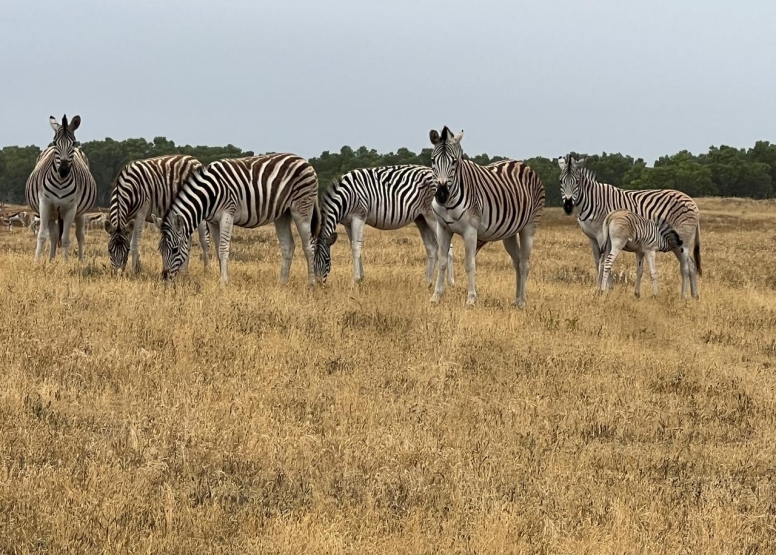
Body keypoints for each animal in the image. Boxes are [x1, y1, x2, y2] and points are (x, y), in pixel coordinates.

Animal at [25, 114, 97, 262]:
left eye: (73, 143)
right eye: (54, 142)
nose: (63, 170)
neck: (60, 182)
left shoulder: (70, 209)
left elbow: (65, 238)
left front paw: (66, 263)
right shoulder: (45, 204)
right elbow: (42, 235)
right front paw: (37, 262)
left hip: (80, 213)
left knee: (79, 235)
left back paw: (80, 261)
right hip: (53, 212)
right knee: (53, 235)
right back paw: (50, 260)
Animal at [159, 153, 320, 286]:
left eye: (174, 250)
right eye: (160, 250)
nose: (164, 278)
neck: (209, 195)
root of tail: (305, 161)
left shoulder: (227, 214)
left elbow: (223, 249)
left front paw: (223, 282)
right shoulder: (212, 221)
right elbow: (218, 250)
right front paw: (223, 277)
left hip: (302, 208)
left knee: (309, 246)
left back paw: (311, 284)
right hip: (283, 214)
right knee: (288, 246)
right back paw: (281, 283)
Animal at [312, 164, 454, 286]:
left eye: (327, 261)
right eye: (312, 262)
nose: (318, 285)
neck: (345, 198)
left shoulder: (359, 217)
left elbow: (356, 247)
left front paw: (355, 280)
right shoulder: (347, 223)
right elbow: (353, 246)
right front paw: (361, 278)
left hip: (433, 218)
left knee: (448, 247)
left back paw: (450, 283)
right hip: (421, 218)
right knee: (432, 247)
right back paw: (427, 282)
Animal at [424, 127, 544, 308]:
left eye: (454, 162)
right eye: (432, 160)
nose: (442, 195)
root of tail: (523, 164)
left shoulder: (470, 231)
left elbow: (469, 264)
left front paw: (471, 299)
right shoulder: (442, 228)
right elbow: (442, 261)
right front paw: (435, 296)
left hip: (529, 227)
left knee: (524, 264)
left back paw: (522, 301)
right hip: (509, 232)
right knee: (517, 262)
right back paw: (516, 299)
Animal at [556, 154, 704, 302]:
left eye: (577, 181)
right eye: (560, 181)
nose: (568, 207)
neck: (593, 201)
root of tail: (692, 201)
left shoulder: (602, 237)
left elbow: (605, 261)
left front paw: (607, 289)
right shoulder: (592, 238)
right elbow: (598, 262)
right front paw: (598, 289)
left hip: (682, 241)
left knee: (686, 266)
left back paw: (685, 296)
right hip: (676, 244)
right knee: (691, 265)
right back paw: (694, 296)